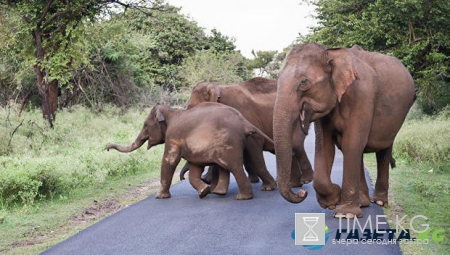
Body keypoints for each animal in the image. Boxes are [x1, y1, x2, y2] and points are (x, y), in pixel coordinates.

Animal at [105, 102, 274, 200]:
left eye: (145, 125)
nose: (106, 148)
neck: (170, 111)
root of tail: (244, 122)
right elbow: (194, 168)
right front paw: (204, 192)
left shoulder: (173, 136)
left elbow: (169, 160)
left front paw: (160, 197)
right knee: (225, 166)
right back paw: (219, 193)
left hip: (229, 143)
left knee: (234, 166)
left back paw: (242, 197)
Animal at [182, 77, 312, 187]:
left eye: (193, 109)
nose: (182, 178)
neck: (218, 87)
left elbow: (254, 145)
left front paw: (268, 187)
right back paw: (293, 184)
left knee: (296, 146)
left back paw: (304, 180)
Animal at [270, 42, 414, 218]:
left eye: (304, 82)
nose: (302, 193)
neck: (329, 53)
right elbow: (325, 147)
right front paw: (332, 202)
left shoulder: (362, 95)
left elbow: (351, 143)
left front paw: (345, 214)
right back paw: (363, 202)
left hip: (395, 119)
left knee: (382, 150)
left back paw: (378, 202)